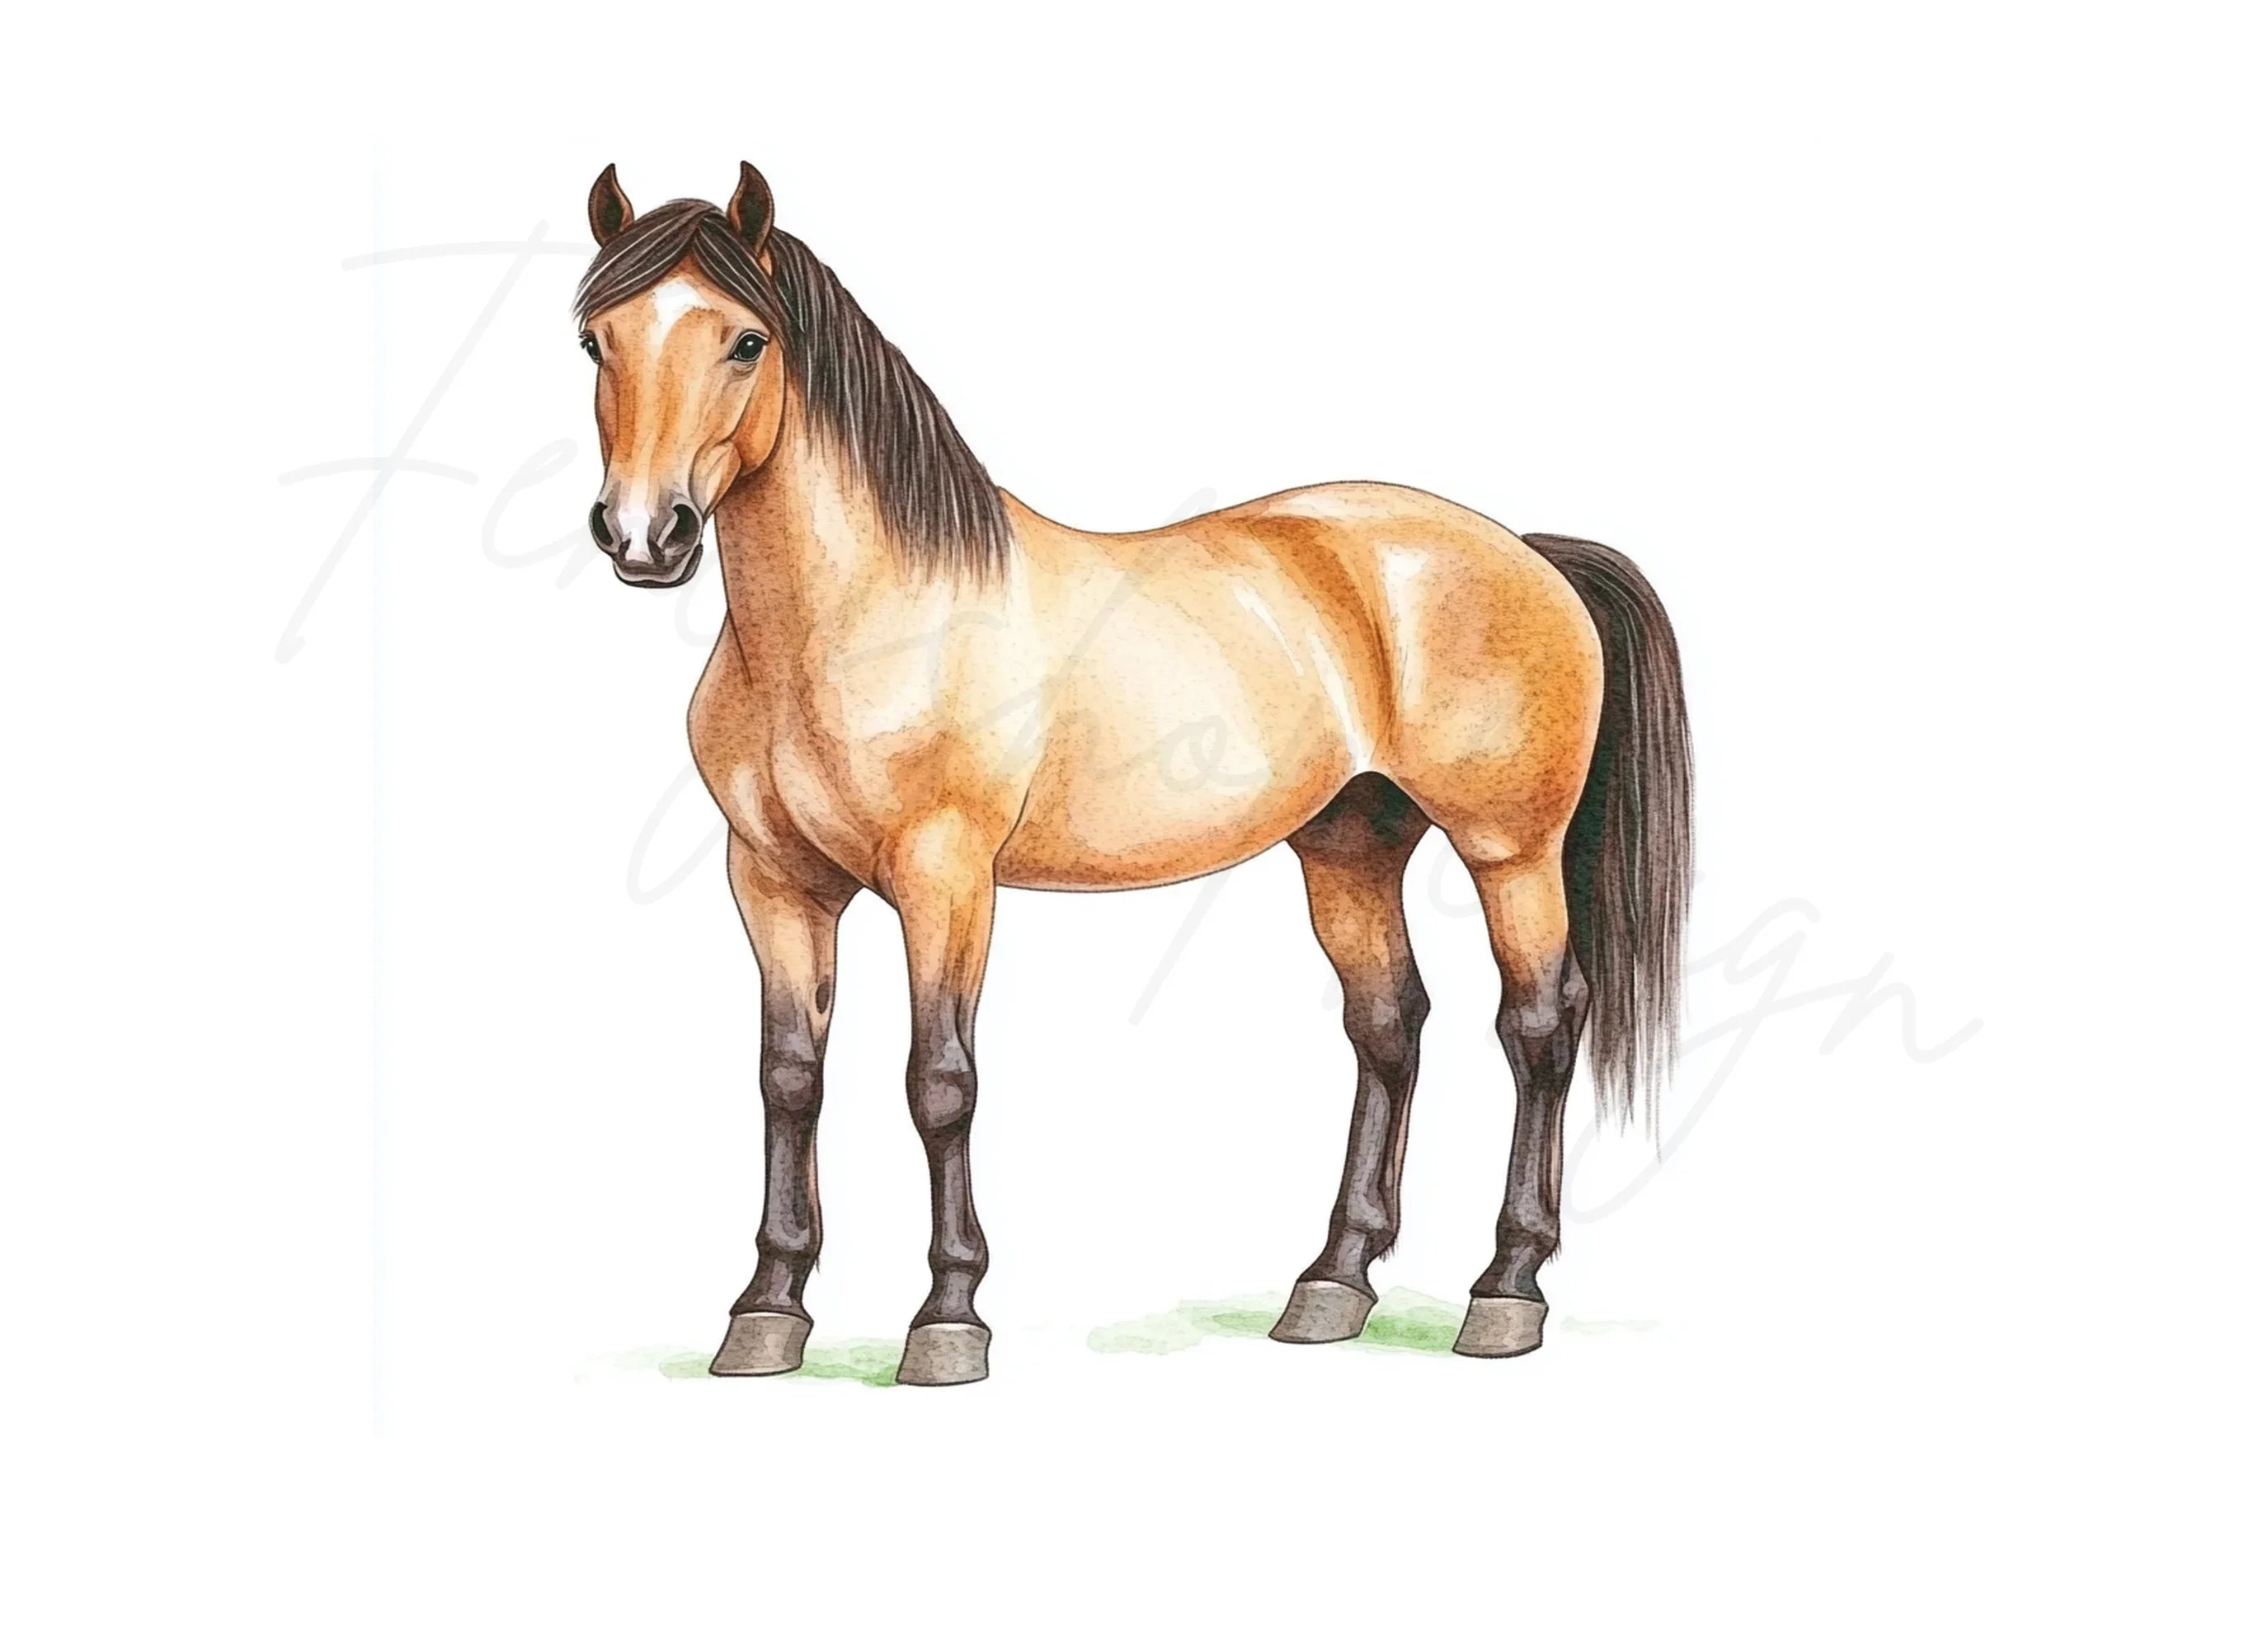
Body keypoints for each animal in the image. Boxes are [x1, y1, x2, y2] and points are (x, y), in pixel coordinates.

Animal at [571, 162, 1692, 1385]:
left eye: (746, 341)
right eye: (595, 340)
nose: (644, 535)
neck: (859, 619)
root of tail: (1526, 551)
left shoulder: (945, 878)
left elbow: (940, 1081)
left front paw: (948, 1317)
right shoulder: (773, 882)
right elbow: (789, 1077)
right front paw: (766, 1310)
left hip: (1509, 851)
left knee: (1537, 1026)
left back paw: (1504, 1291)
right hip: (1349, 845)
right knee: (1388, 1022)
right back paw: (1331, 1284)